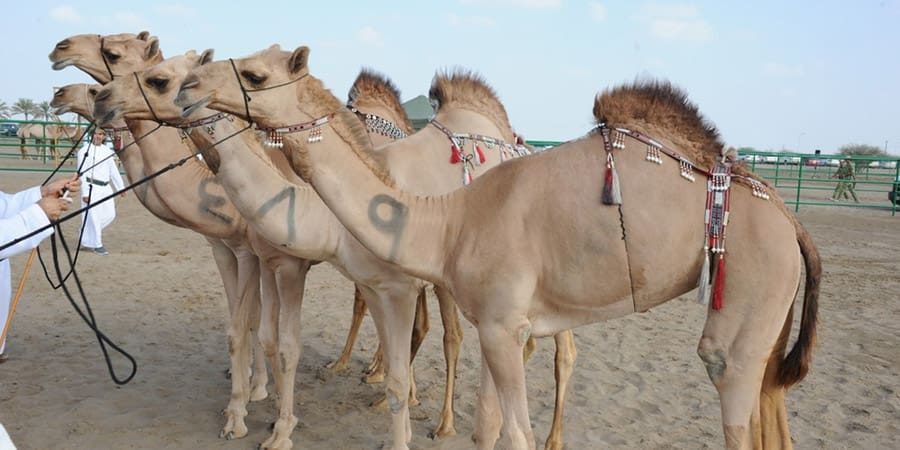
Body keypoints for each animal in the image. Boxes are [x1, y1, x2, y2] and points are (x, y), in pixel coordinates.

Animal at [95, 49, 576, 450]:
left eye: (158, 79)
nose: (100, 98)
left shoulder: (362, 279)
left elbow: (287, 342)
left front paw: (271, 427)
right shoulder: (353, 278)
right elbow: (261, 331)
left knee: (545, 349)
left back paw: (480, 429)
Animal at [176, 43, 824, 450]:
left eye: (256, 75)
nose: (187, 86)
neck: (449, 222)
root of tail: (789, 219)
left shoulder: (499, 323)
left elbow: (513, 433)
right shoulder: (493, 323)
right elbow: (487, 427)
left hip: (747, 292)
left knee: (727, 385)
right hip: (768, 317)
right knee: (775, 410)